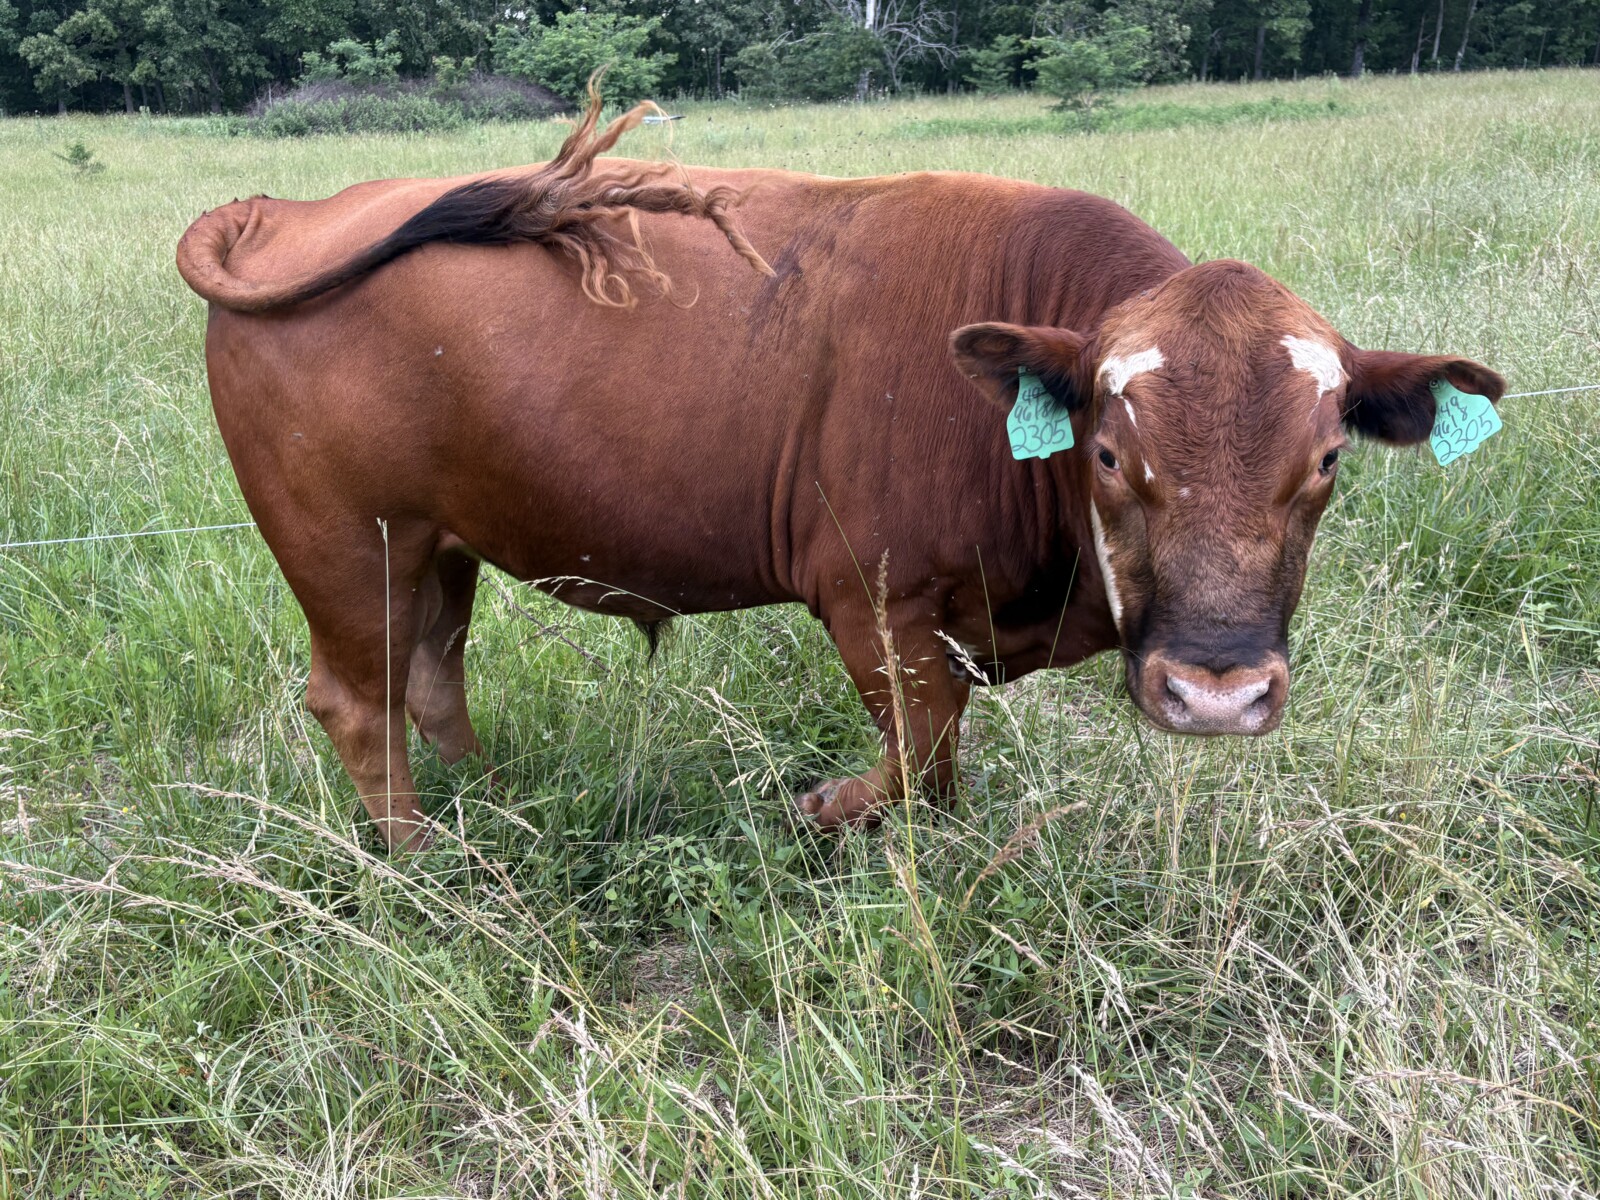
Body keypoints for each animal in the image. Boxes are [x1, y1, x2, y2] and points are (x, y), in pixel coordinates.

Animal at [177, 92, 1505, 852]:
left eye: (1325, 458)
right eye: (1109, 451)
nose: (1217, 693)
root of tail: (291, 209)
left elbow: (938, 770)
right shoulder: (877, 604)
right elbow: (919, 765)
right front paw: (826, 809)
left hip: (438, 543)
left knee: (431, 677)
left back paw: (493, 807)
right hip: (346, 543)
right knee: (358, 701)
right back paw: (428, 871)